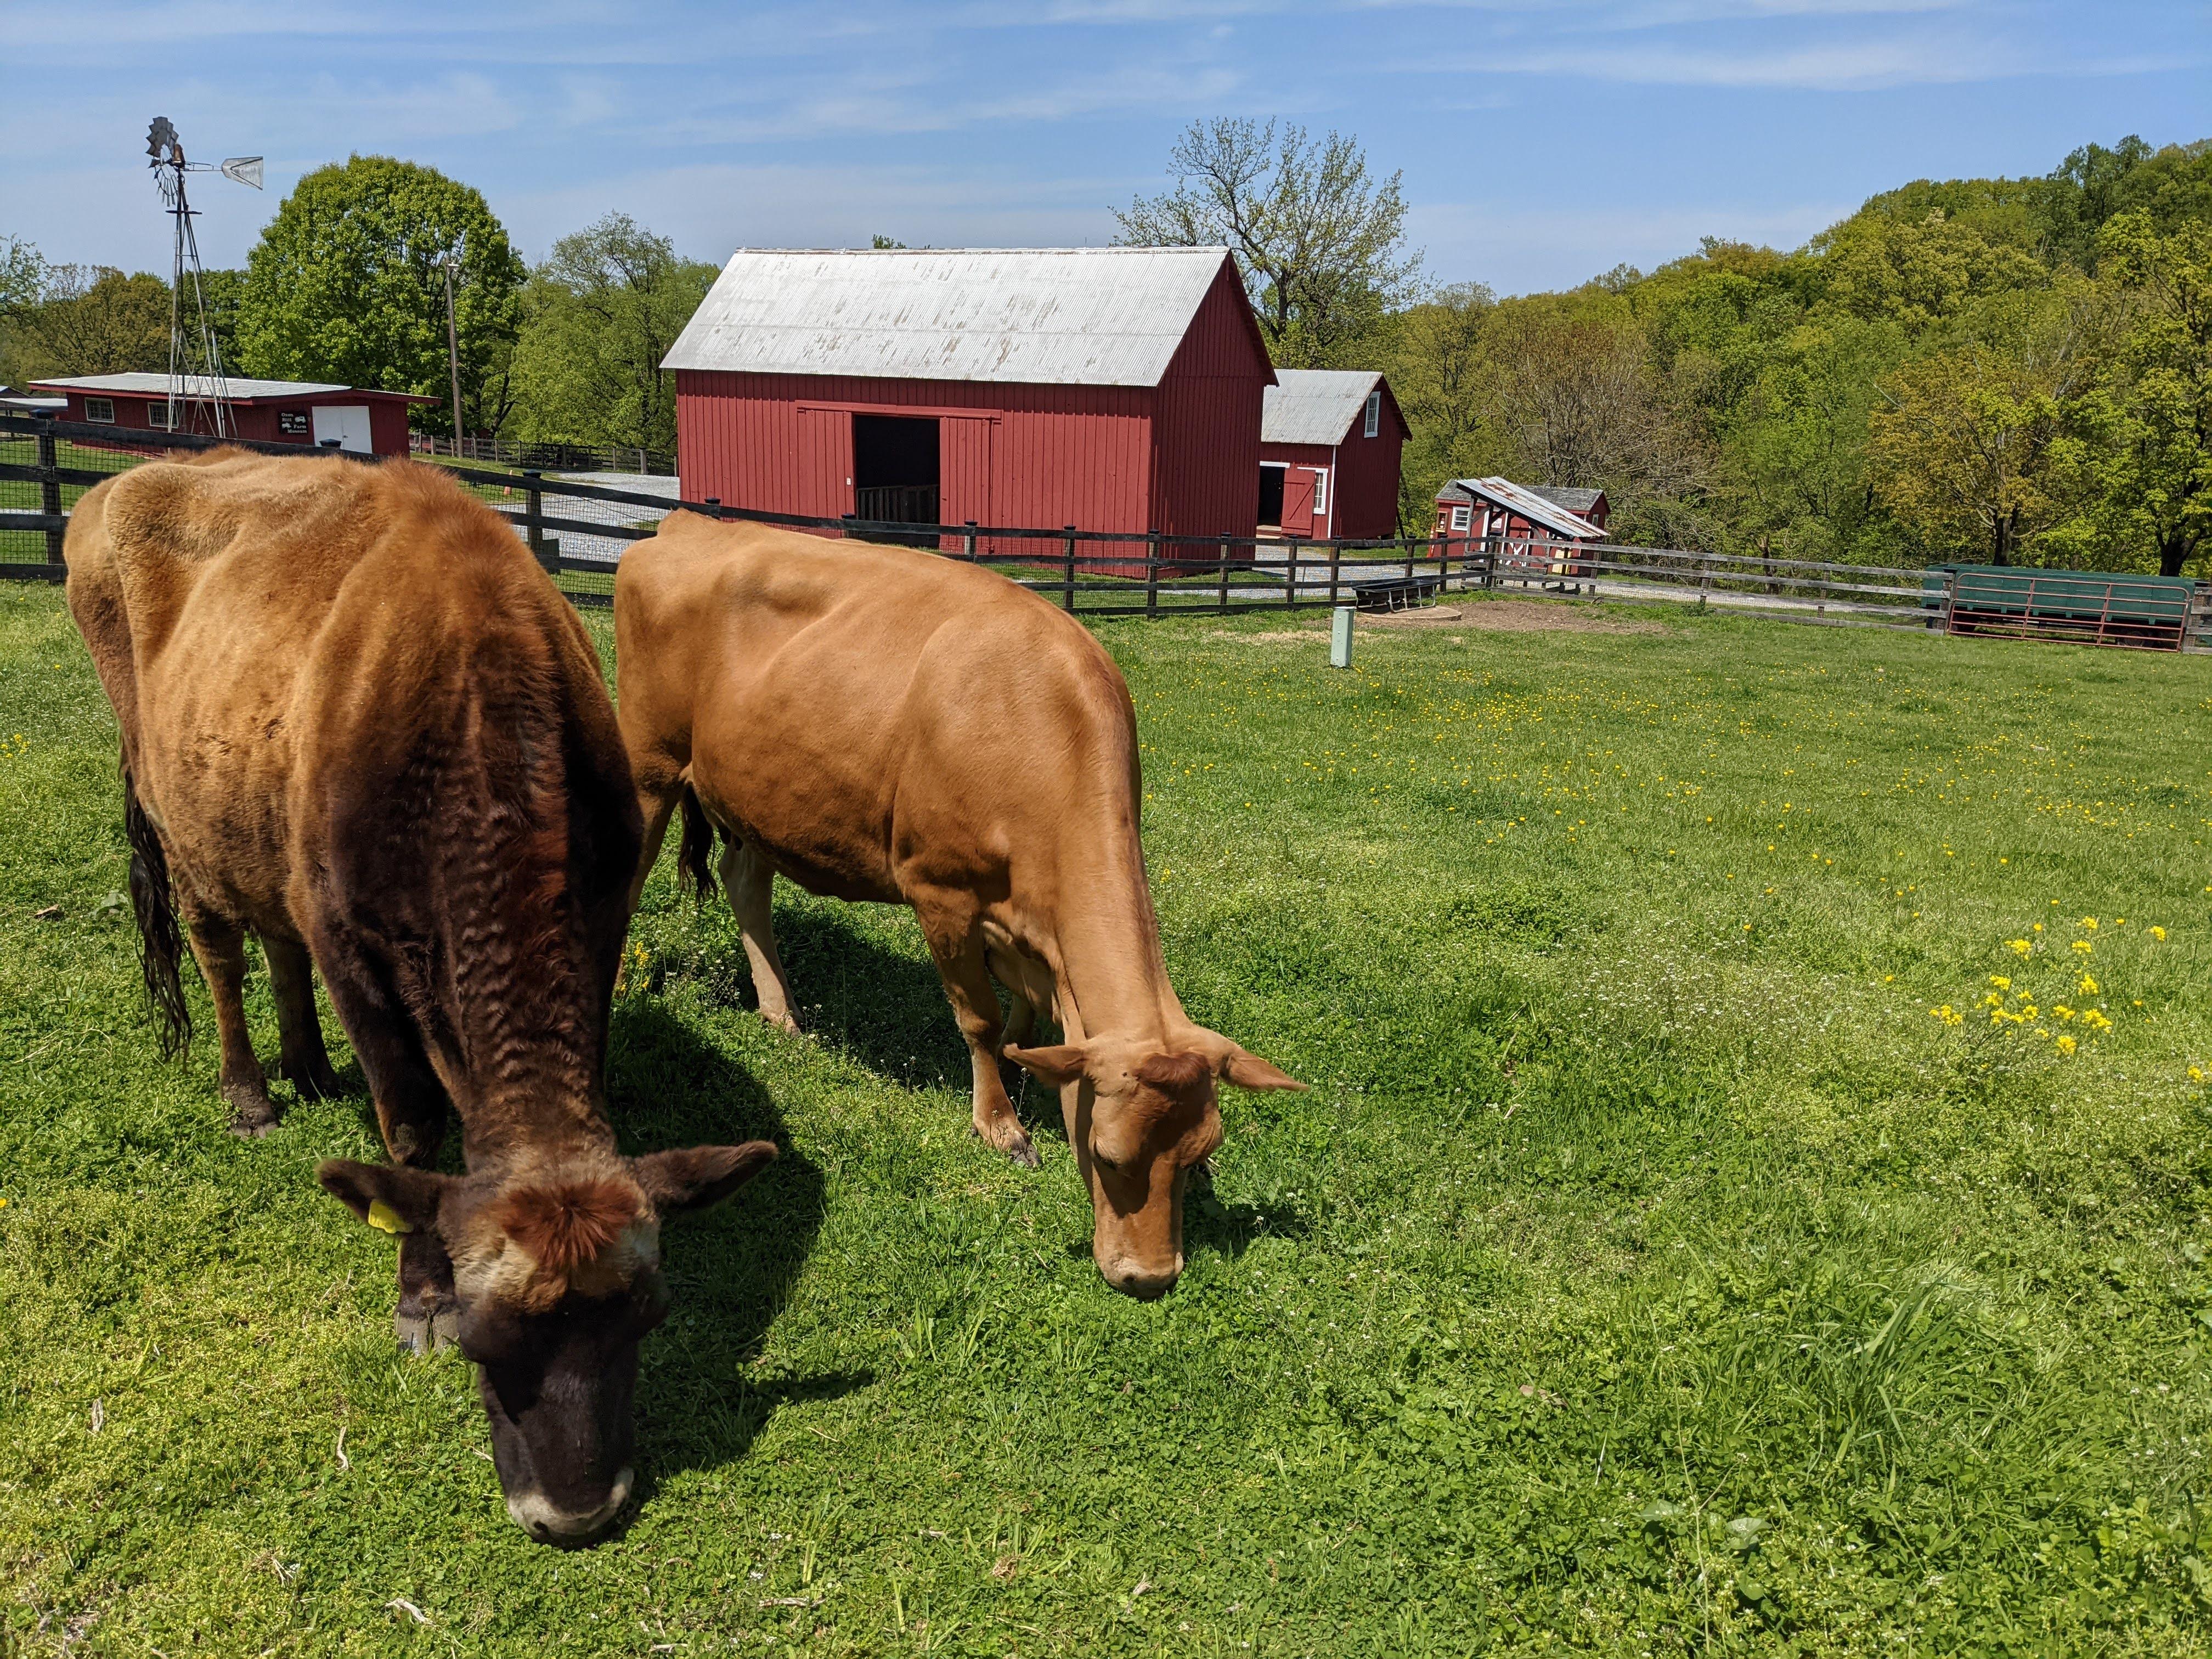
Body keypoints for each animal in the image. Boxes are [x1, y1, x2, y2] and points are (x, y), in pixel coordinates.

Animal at [66, 455, 778, 1548]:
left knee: (275, 935)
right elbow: (408, 1128)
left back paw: (311, 1066)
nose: (576, 1511)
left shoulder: (604, 914)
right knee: (220, 944)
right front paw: (417, 1294)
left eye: (646, 1321)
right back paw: (252, 1092)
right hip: (173, 804)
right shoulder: (353, 945)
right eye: (484, 1342)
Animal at [614, 513, 1300, 1309]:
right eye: (1105, 1154)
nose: (1150, 1277)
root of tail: (688, 523)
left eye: (1200, 1155)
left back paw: (782, 1012)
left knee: (744, 879)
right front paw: (1000, 1123)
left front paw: (1027, 1061)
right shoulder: (940, 891)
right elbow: (976, 1018)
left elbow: (1027, 1015)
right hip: (649, 762)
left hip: (762, 796)